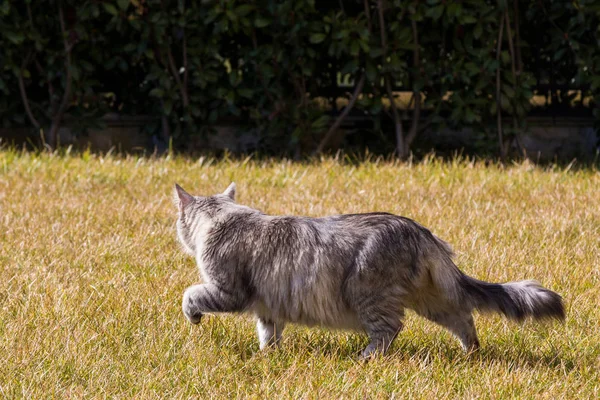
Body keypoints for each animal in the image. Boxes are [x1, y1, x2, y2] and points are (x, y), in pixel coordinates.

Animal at [172, 183, 564, 358]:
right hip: (432, 299)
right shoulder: (269, 304)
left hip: (366, 293)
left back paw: (366, 357)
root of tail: (418, 230)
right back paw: (471, 353)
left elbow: (191, 294)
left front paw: (193, 316)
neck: (224, 218)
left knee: (390, 329)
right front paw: (269, 356)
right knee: (464, 317)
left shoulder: (228, 290)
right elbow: (269, 333)